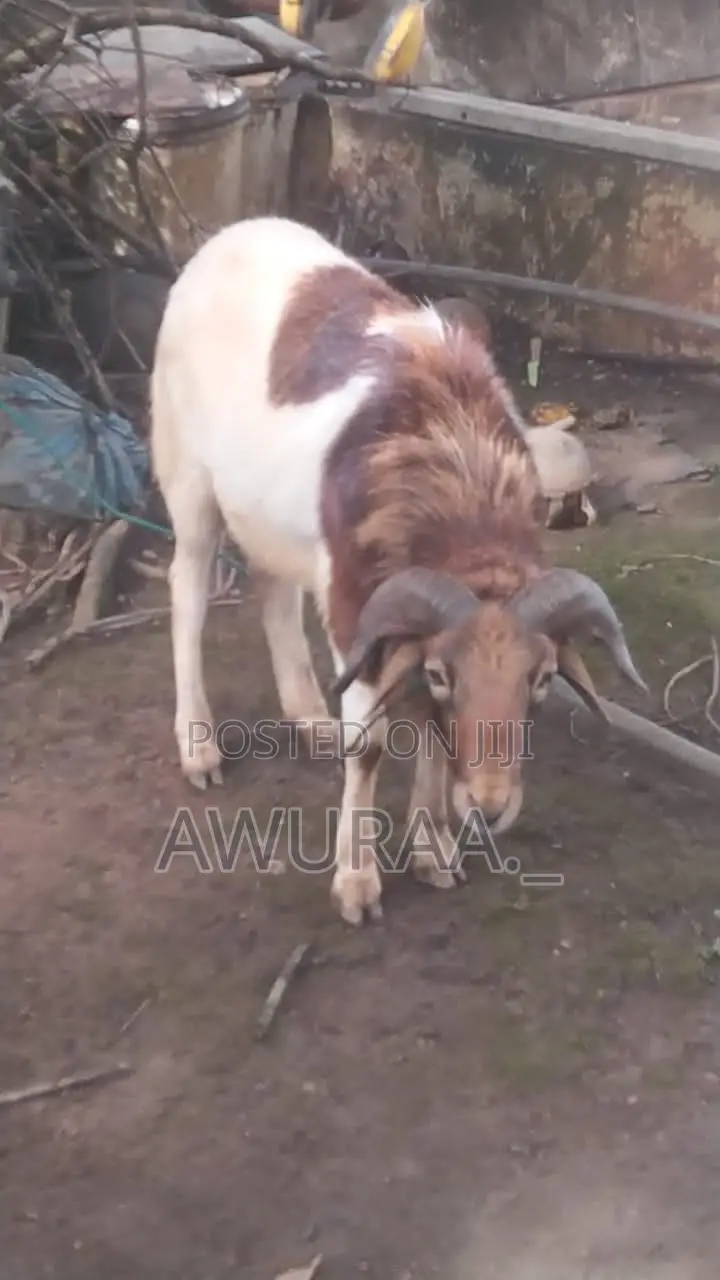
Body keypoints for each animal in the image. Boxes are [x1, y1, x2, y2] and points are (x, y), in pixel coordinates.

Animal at [150, 214, 646, 926]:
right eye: (444, 674)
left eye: (542, 678)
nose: (490, 808)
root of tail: (231, 234)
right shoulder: (356, 612)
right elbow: (372, 746)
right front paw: (357, 884)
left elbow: (430, 735)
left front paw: (434, 849)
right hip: (189, 478)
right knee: (187, 592)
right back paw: (200, 749)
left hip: (267, 516)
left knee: (274, 591)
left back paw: (310, 719)